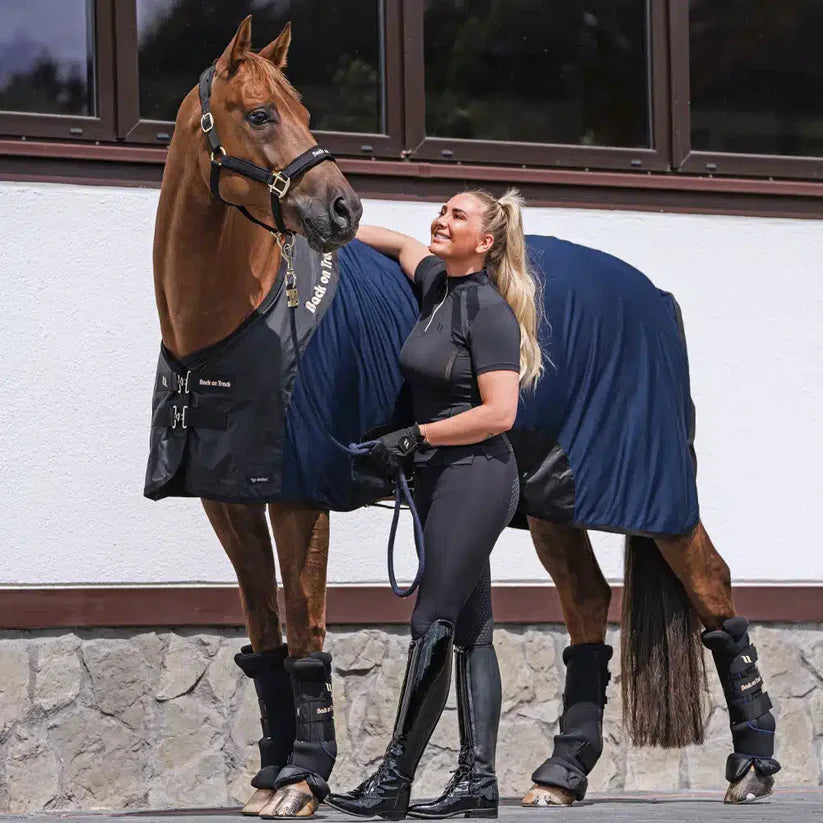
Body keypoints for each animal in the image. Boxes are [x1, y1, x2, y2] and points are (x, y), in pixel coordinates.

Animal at [154, 17, 780, 816]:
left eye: (302, 110)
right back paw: (560, 774)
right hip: (548, 499)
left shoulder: (300, 495)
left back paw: (752, 765)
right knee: (586, 601)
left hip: (651, 491)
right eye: (261, 114)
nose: (345, 210)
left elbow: (303, 624)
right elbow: (265, 632)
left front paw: (302, 778)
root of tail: (656, 294)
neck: (239, 316)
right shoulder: (228, 497)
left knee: (712, 585)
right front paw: (271, 773)